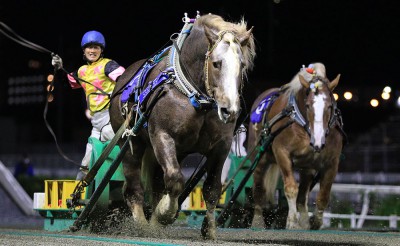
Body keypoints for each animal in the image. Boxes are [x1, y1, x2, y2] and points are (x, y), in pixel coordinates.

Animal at [108, 13, 256, 238]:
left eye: (243, 64)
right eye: (216, 64)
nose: (229, 110)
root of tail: (123, 80)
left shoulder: (221, 146)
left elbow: (212, 190)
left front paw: (209, 230)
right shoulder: (162, 136)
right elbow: (175, 179)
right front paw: (164, 214)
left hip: (178, 152)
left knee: (158, 183)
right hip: (131, 144)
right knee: (134, 188)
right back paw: (142, 225)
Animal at [248, 63, 346, 231]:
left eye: (329, 106)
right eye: (307, 105)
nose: (318, 141)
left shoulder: (332, 162)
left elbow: (323, 195)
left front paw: (315, 222)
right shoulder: (282, 153)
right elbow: (291, 188)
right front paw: (292, 222)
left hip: (308, 167)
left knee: (302, 195)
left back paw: (305, 221)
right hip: (260, 158)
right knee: (259, 188)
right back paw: (258, 221)